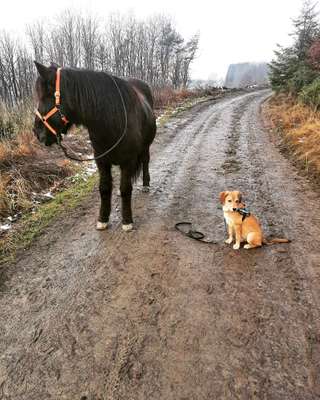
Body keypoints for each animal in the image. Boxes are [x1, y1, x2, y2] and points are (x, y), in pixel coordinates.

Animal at [32, 62, 156, 231]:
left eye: (46, 96)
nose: (36, 132)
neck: (111, 121)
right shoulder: (101, 161)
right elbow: (104, 188)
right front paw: (103, 219)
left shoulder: (128, 161)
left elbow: (126, 189)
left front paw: (127, 221)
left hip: (145, 148)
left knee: (145, 161)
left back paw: (145, 184)